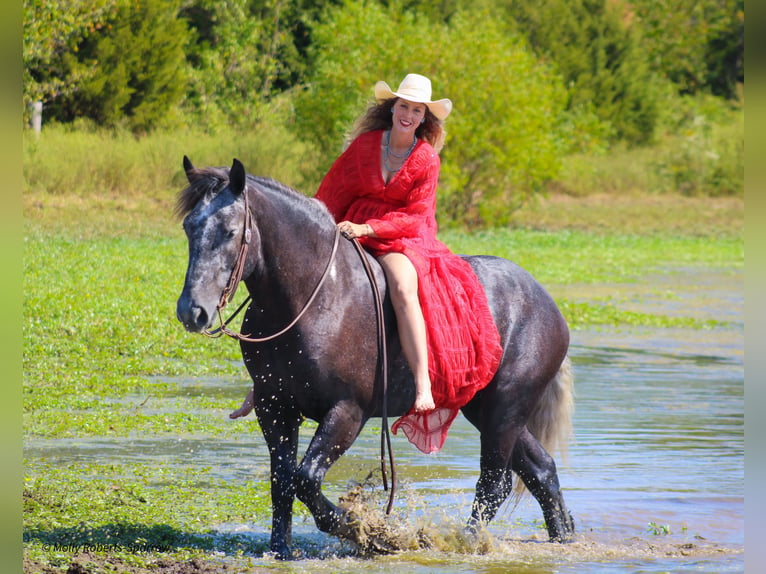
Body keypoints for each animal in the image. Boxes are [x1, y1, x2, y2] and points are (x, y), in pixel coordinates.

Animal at [176, 159, 576, 564]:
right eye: (189, 226)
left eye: (229, 231)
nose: (192, 311)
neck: (316, 298)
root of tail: (546, 303)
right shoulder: (274, 408)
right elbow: (282, 479)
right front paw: (281, 549)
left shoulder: (347, 412)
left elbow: (306, 479)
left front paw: (368, 531)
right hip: (490, 411)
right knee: (541, 470)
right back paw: (563, 538)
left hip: (504, 411)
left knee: (495, 482)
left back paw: (462, 542)